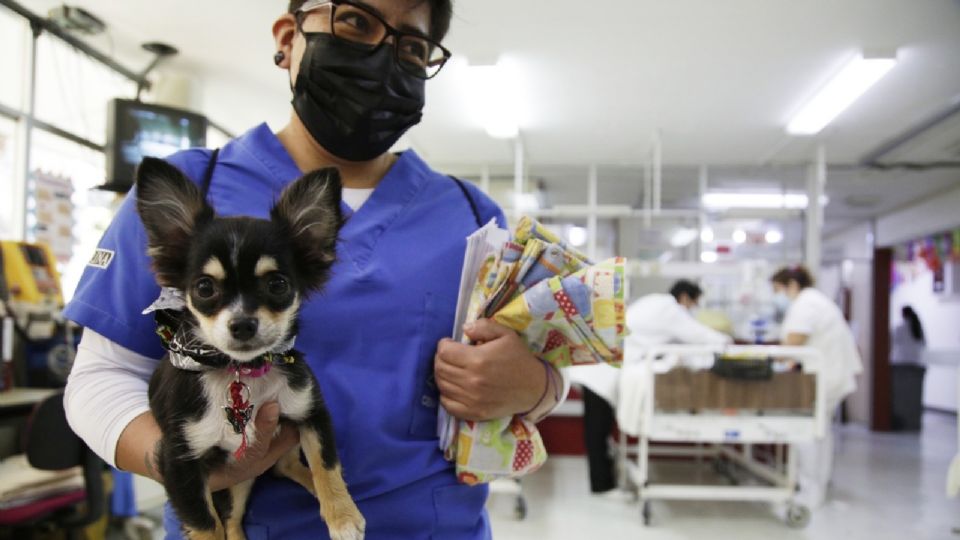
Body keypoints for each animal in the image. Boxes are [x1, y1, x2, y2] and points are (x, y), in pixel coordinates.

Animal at [133, 157, 362, 540]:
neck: (242, 370)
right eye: (204, 288)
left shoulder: (311, 413)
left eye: (278, 284)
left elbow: (326, 462)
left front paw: (343, 516)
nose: (242, 324)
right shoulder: (179, 465)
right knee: (231, 518)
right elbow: (206, 525)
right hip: (239, 475)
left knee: (285, 467)